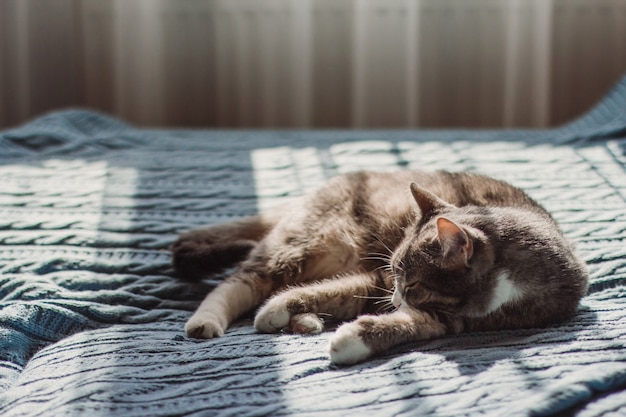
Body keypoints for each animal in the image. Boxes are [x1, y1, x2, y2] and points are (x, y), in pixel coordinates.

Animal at [171, 169, 584, 364]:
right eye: (401, 277)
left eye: (413, 285)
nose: (398, 298)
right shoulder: (380, 278)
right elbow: (332, 290)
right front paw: (277, 310)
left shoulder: (447, 318)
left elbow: (405, 325)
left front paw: (354, 339)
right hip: (305, 241)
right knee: (244, 280)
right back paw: (206, 320)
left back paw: (306, 323)